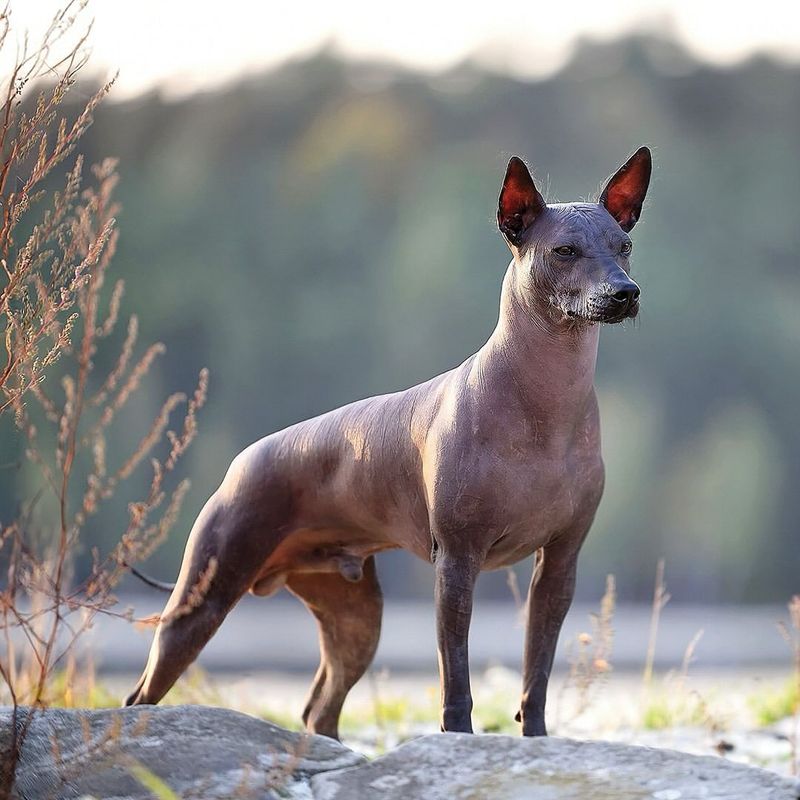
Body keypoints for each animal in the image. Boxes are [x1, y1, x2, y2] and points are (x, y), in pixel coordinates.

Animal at [125, 148, 648, 736]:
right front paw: (459, 739)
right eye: (564, 251)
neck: (546, 403)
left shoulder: (559, 566)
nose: (625, 292)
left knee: (320, 708)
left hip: (355, 617)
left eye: (624, 247)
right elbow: (455, 678)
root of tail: (240, 463)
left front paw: (534, 740)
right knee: (141, 695)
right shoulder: (457, 563)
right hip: (203, 599)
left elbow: (537, 672)